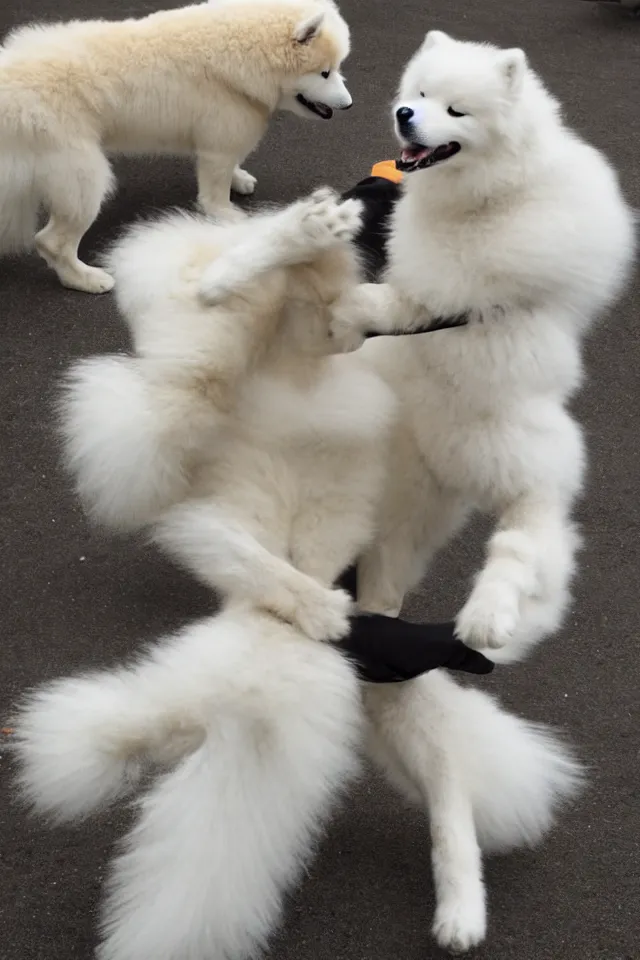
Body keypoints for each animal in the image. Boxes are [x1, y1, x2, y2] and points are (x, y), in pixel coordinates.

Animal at [0, 0, 350, 292]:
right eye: (324, 73)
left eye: (337, 69)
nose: (348, 104)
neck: (246, 56)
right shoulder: (218, 141)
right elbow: (214, 193)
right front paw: (227, 215)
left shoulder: (223, 135)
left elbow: (232, 165)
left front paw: (239, 178)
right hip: (82, 174)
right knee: (51, 241)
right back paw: (86, 279)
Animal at [13, 191, 584, 956]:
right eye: (176, 749)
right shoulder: (202, 531)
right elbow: (256, 564)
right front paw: (325, 611)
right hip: (229, 373)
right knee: (241, 314)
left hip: (284, 348)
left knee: (272, 305)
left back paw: (309, 233)